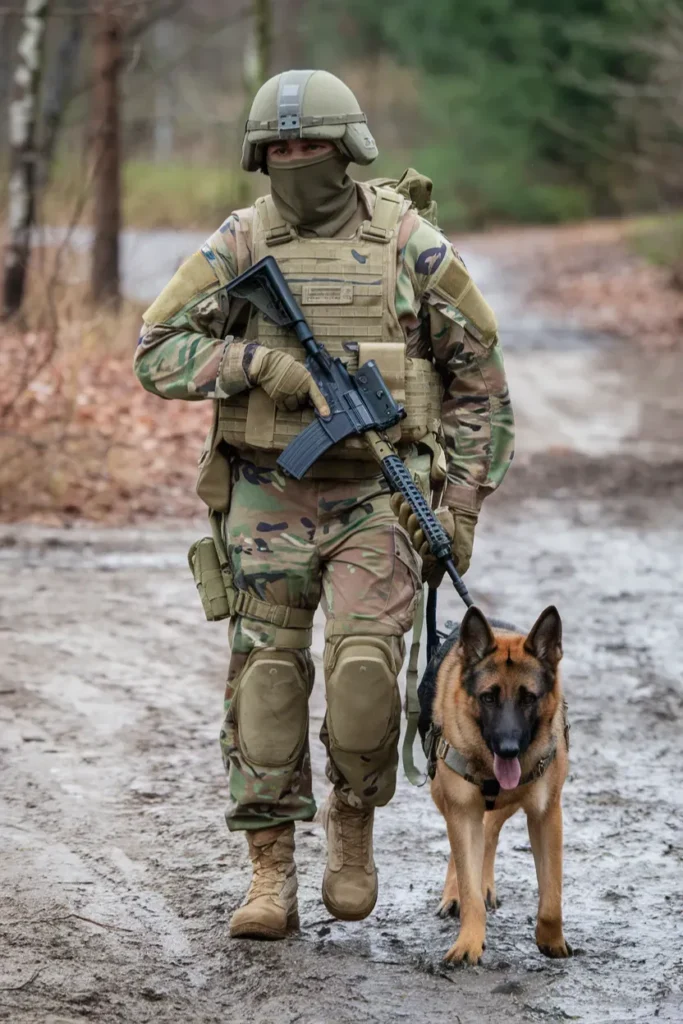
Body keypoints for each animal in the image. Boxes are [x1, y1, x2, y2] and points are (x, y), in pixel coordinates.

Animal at [417, 602, 573, 962]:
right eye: (488, 698)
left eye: (528, 698)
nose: (508, 748)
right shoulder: (461, 811)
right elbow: (469, 885)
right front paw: (469, 942)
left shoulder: (546, 815)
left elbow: (552, 894)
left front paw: (551, 941)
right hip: (443, 796)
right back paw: (455, 893)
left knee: (491, 829)